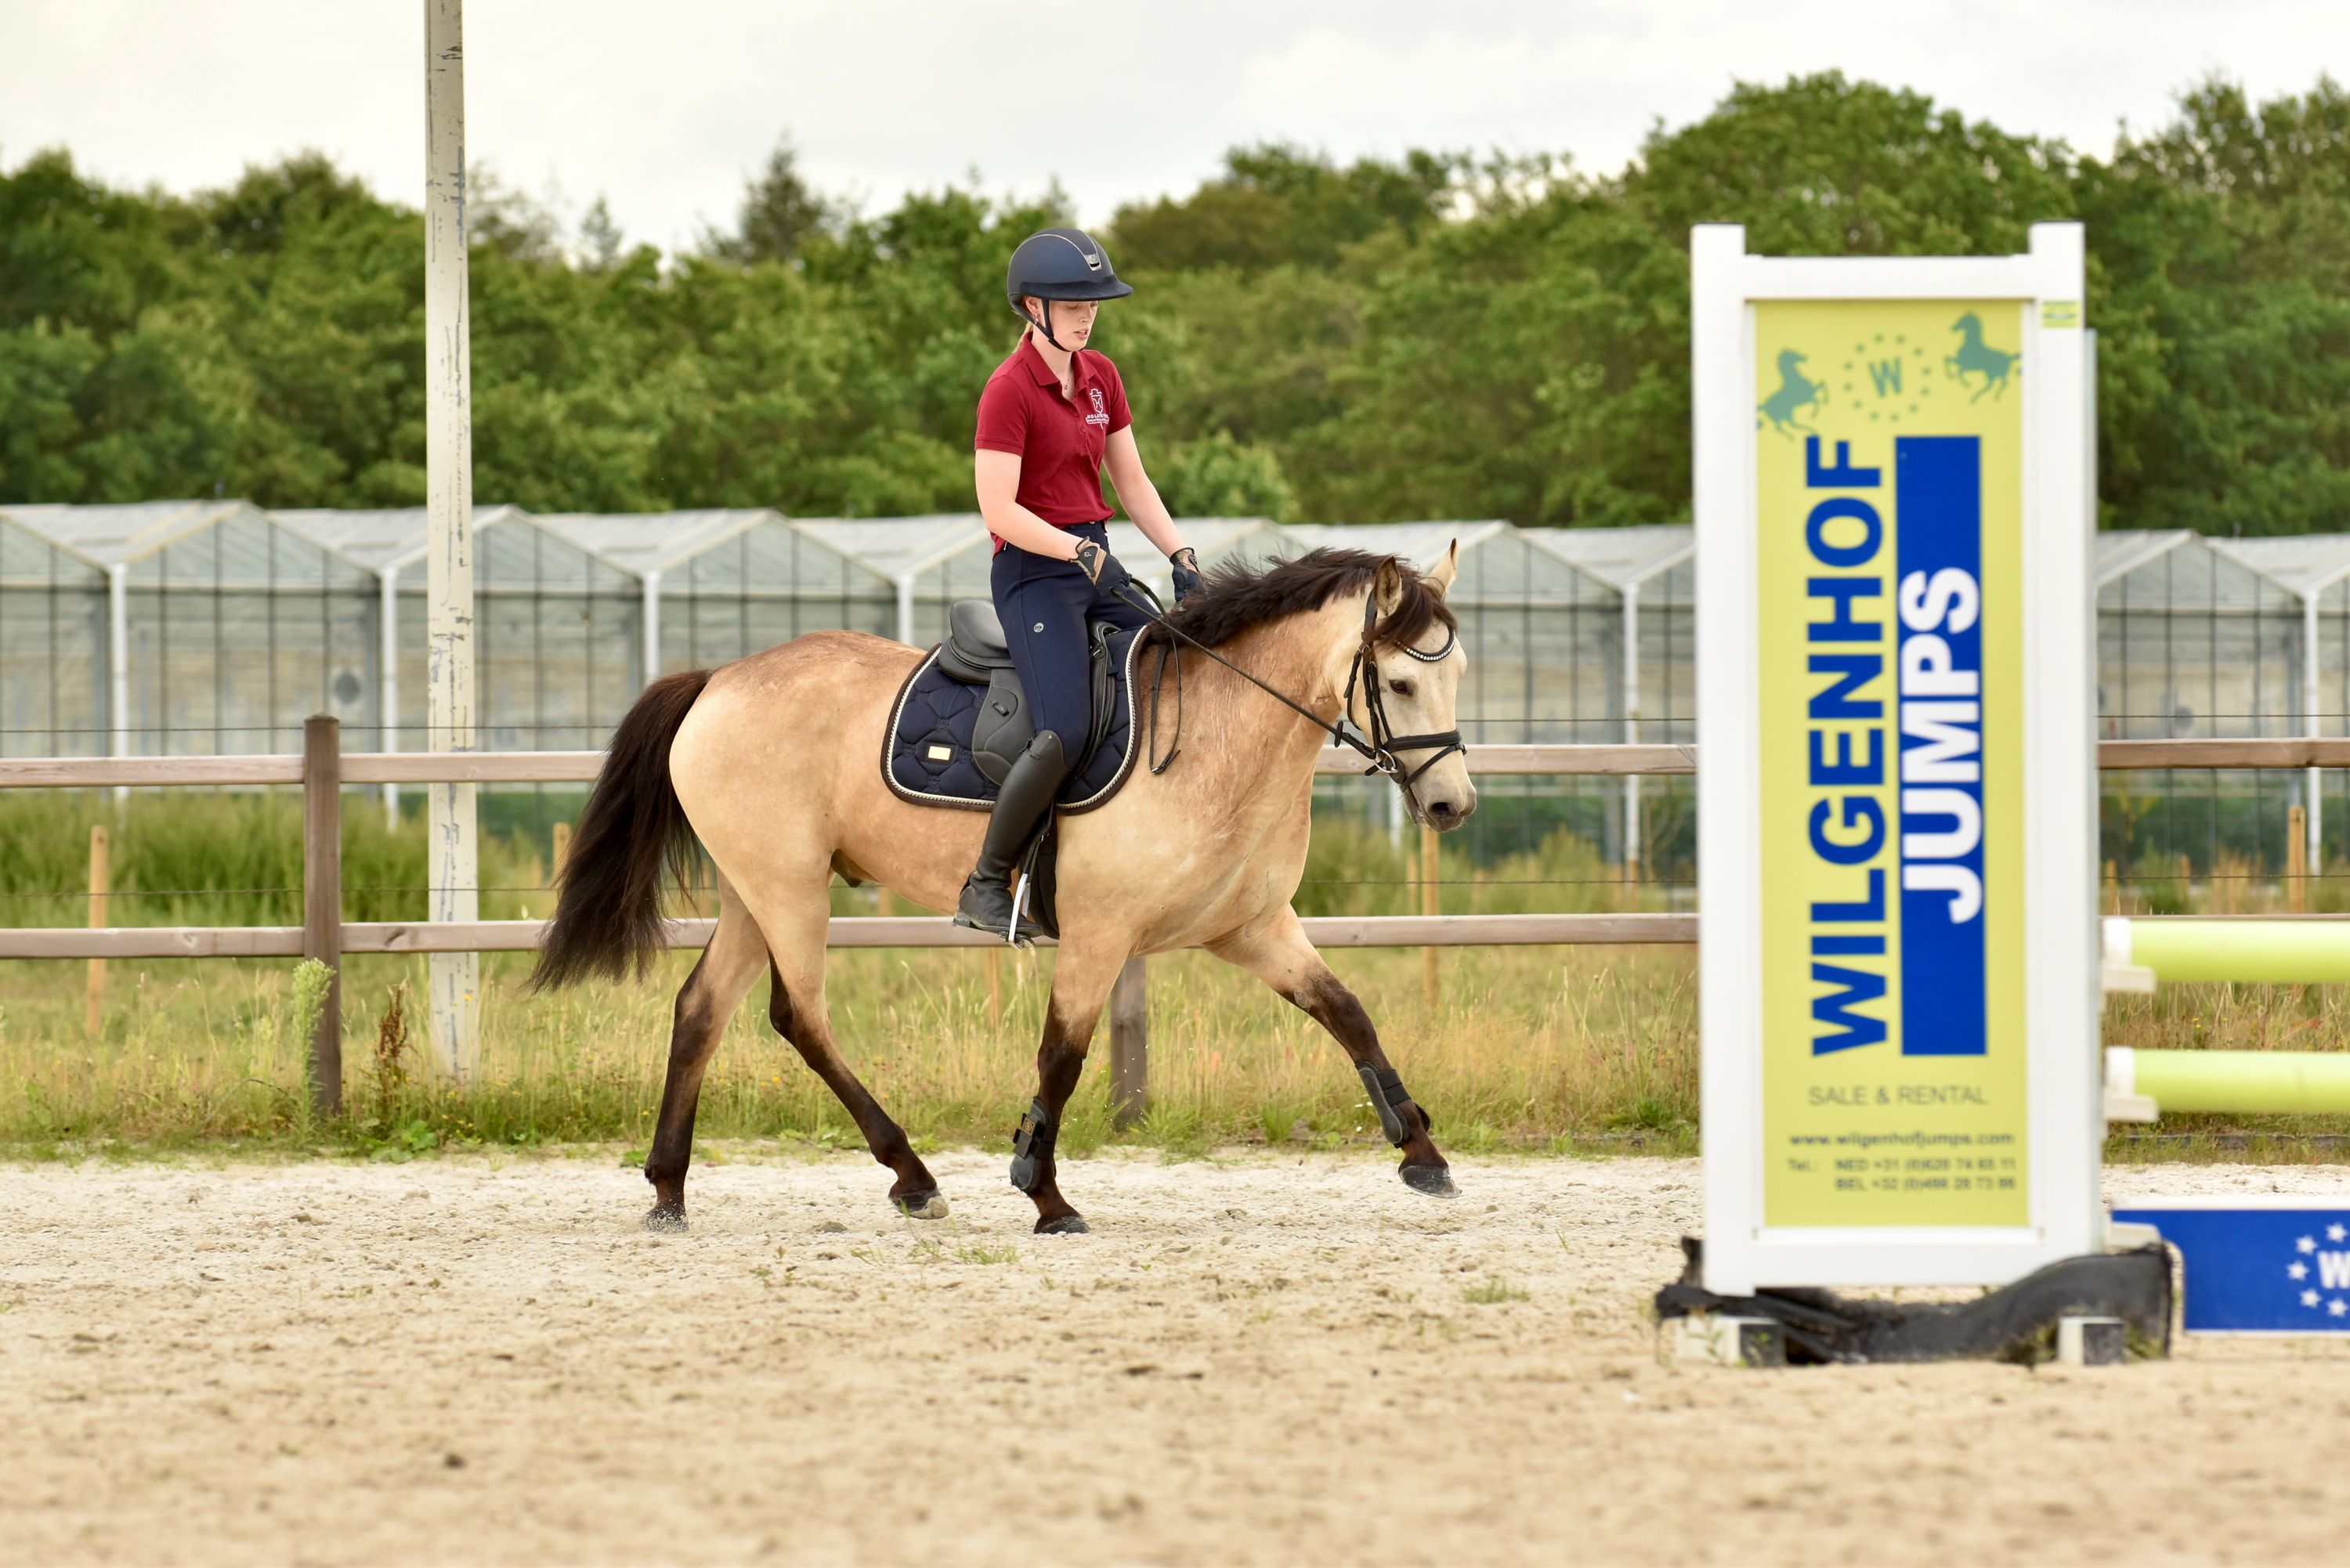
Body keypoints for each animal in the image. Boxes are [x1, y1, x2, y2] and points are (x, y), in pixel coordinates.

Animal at [532, 546, 1479, 1234]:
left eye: (1459, 671)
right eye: (1399, 682)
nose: (1451, 805)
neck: (1218, 731)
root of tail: (719, 679)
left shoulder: (1253, 927)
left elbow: (1347, 1012)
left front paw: (1422, 1153)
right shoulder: (1100, 934)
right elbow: (1062, 1054)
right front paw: (1044, 1192)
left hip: (751, 893)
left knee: (701, 1011)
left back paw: (670, 1190)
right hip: (789, 889)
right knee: (799, 1016)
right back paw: (911, 1174)